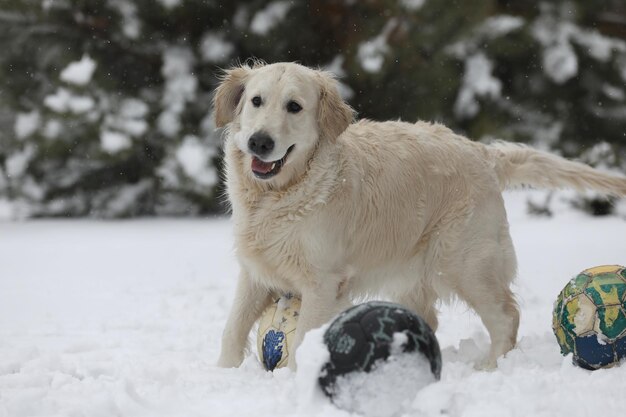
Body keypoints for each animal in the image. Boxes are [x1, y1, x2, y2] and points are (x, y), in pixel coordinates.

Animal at [213, 61, 624, 368]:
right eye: (256, 101)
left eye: (294, 106)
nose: (259, 142)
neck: (275, 198)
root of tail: (482, 152)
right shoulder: (255, 272)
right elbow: (232, 330)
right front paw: (226, 372)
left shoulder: (322, 283)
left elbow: (300, 342)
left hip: (462, 262)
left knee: (506, 315)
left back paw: (492, 366)